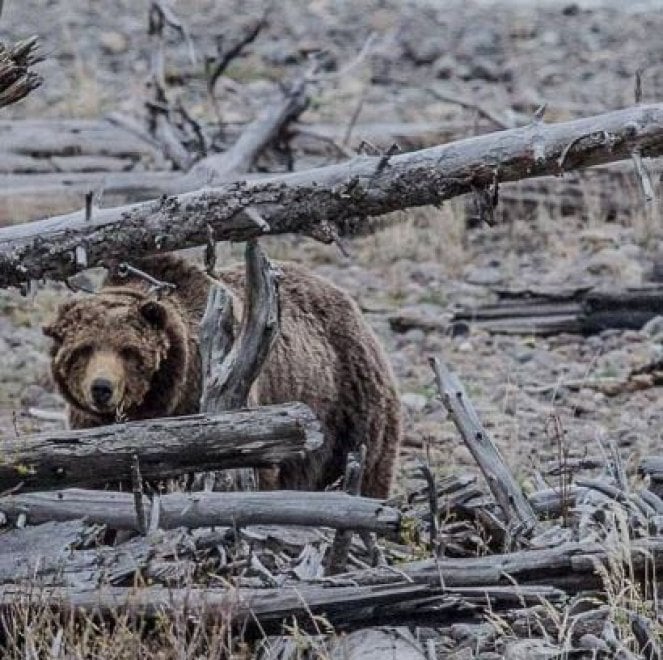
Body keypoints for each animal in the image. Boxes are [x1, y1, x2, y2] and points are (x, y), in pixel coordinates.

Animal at [43, 254, 402, 498]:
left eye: (129, 351)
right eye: (83, 349)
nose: (102, 388)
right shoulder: (92, 429)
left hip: (348, 403)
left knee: (367, 465)